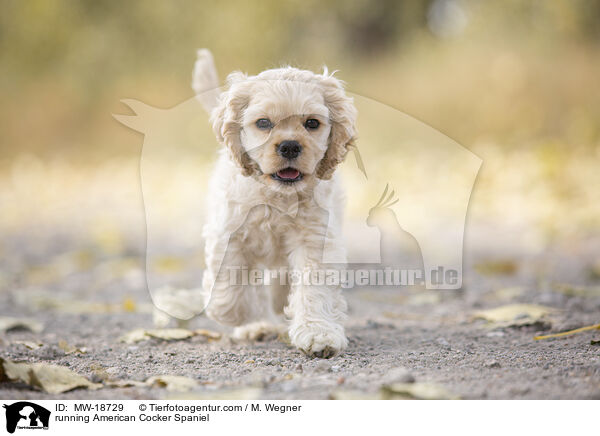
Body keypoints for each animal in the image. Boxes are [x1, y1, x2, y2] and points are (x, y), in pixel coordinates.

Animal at [197, 51, 356, 358]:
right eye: (263, 123)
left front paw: (319, 334)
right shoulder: (228, 232)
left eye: (312, 123)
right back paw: (257, 324)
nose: (290, 146)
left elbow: (313, 287)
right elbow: (229, 287)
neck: (277, 196)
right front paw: (240, 315)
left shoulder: (315, 239)